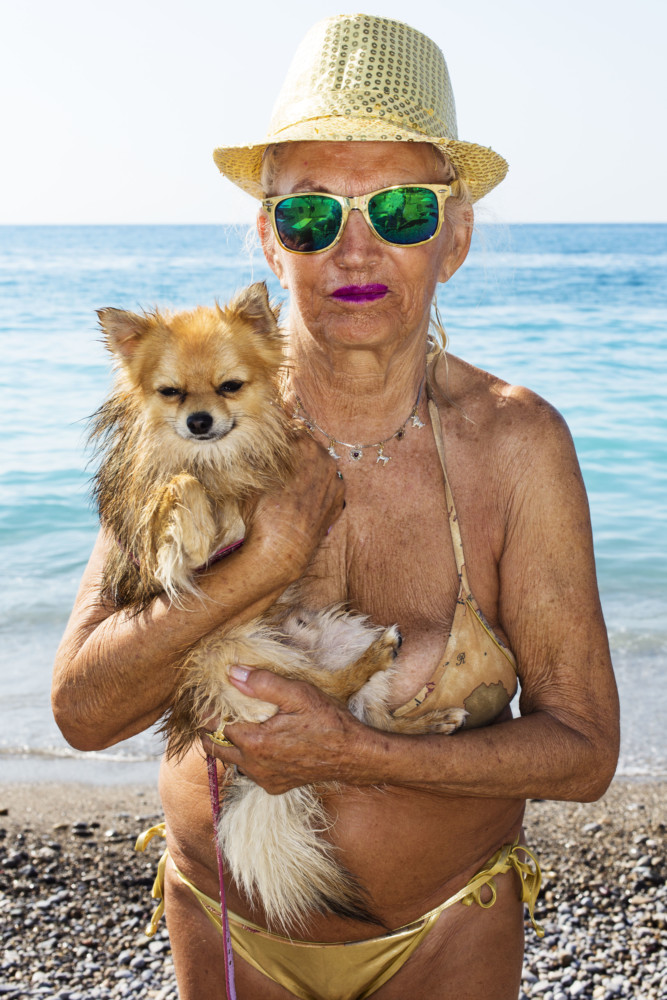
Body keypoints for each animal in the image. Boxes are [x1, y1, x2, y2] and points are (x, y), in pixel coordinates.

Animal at [91, 281, 465, 932]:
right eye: (170, 393)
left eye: (230, 386)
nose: (198, 421)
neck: (220, 458)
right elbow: (181, 495)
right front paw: (194, 518)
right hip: (234, 656)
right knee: (340, 700)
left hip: (330, 634)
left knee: (358, 713)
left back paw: (423, 715)